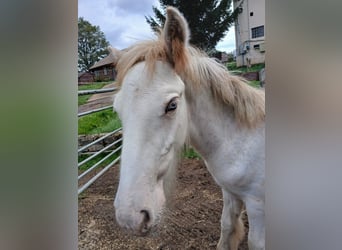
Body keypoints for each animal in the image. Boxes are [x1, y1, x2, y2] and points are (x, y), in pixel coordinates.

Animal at [111, 6, 264, 249]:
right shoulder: (230, 192)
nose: (130, 217)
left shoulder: (257, 204)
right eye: (117, 109)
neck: (242, 141)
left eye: (172, 105)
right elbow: (227, 226)